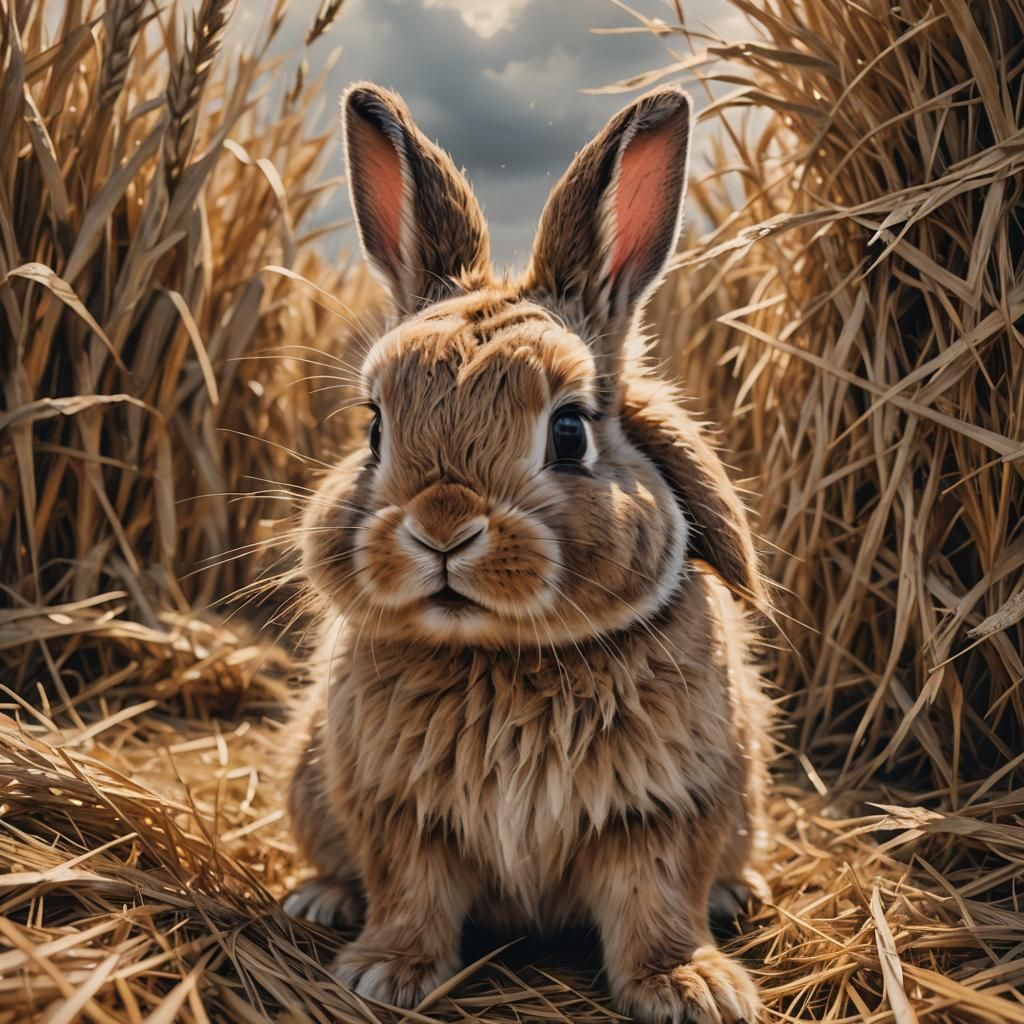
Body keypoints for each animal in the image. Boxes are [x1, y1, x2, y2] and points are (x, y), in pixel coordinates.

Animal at [284, 81, 772, 1024]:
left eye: (570, 432)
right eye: (374, 428)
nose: (442, 527)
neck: (503, 655)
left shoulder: (665, 811)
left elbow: (658, 900)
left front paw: (692, 987)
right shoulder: (399, 812)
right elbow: (409, 889)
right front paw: (384, 972)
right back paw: (320, 899)